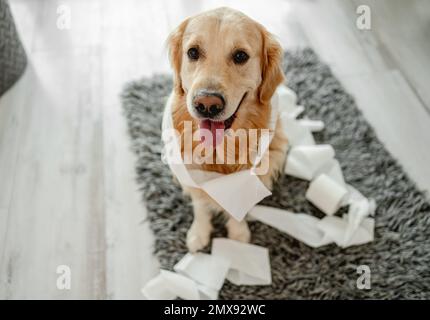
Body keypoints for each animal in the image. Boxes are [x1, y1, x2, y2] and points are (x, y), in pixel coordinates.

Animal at [166, 6, 288, 252]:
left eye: (240, 56)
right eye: (193, 52)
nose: (207, 105)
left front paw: (238, 234)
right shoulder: (193, 175)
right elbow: (200, 205)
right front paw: (199, 232)